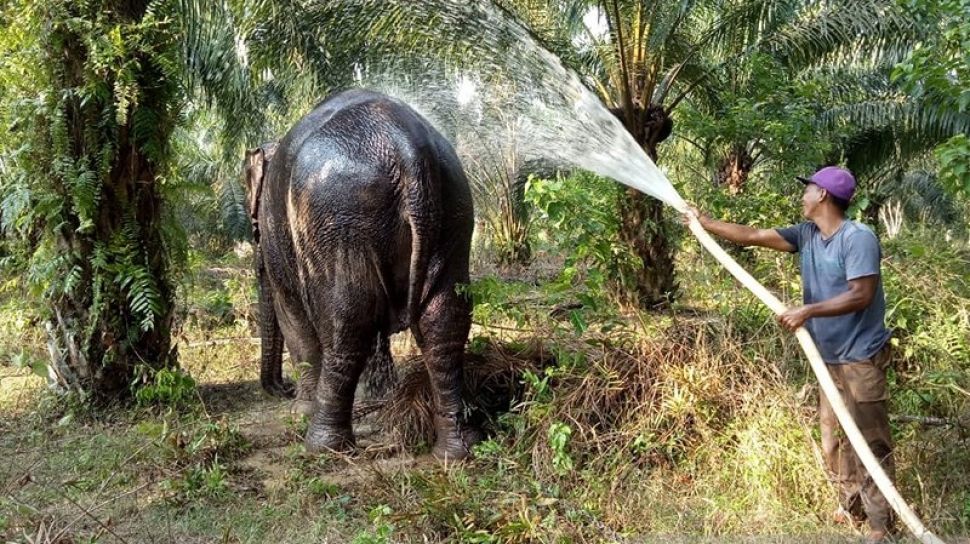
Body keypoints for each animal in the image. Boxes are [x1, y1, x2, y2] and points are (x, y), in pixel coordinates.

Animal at [242, 89, 480, 460]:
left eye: (252, 225)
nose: (282, 388)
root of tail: (404, 142)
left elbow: (292, 315)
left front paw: (300, 411)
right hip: (454, 209)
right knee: (444, 321)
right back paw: (456, 451)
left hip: (341, 217)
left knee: (347, 324)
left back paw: (324, 447)